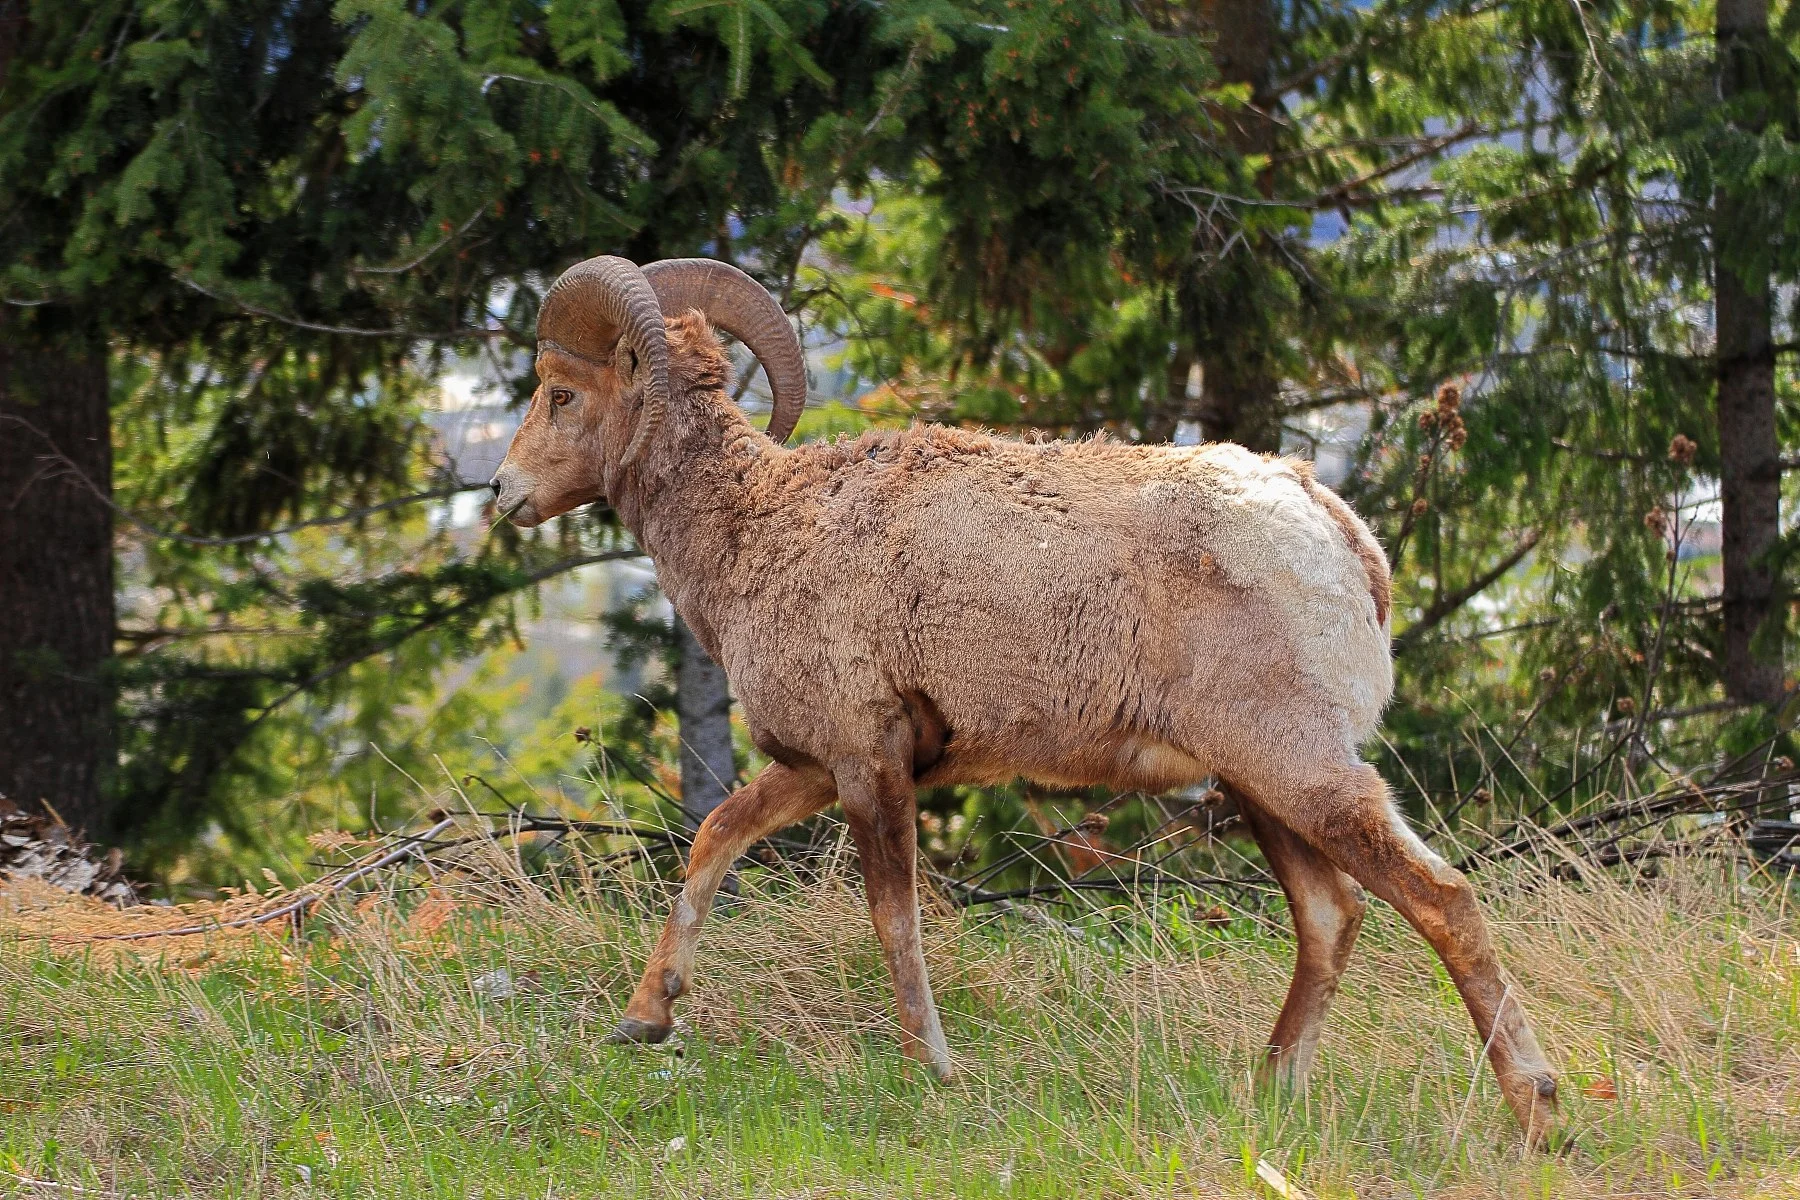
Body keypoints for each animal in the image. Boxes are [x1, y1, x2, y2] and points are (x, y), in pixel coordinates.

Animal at [490, 255, 1561, 1142]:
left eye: (560, 391)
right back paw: (1268, 1093)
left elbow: (895, 920)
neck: (760, 530)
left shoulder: (868, 764)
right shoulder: (818, 767)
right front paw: (645, 1019)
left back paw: (1541, 1115)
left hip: (1299, 767)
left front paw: (936, 1070)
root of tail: (1338, 534)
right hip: (1260, 784)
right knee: (1331, 917)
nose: (500, 492)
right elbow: (716, 838)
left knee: (1442, 900)